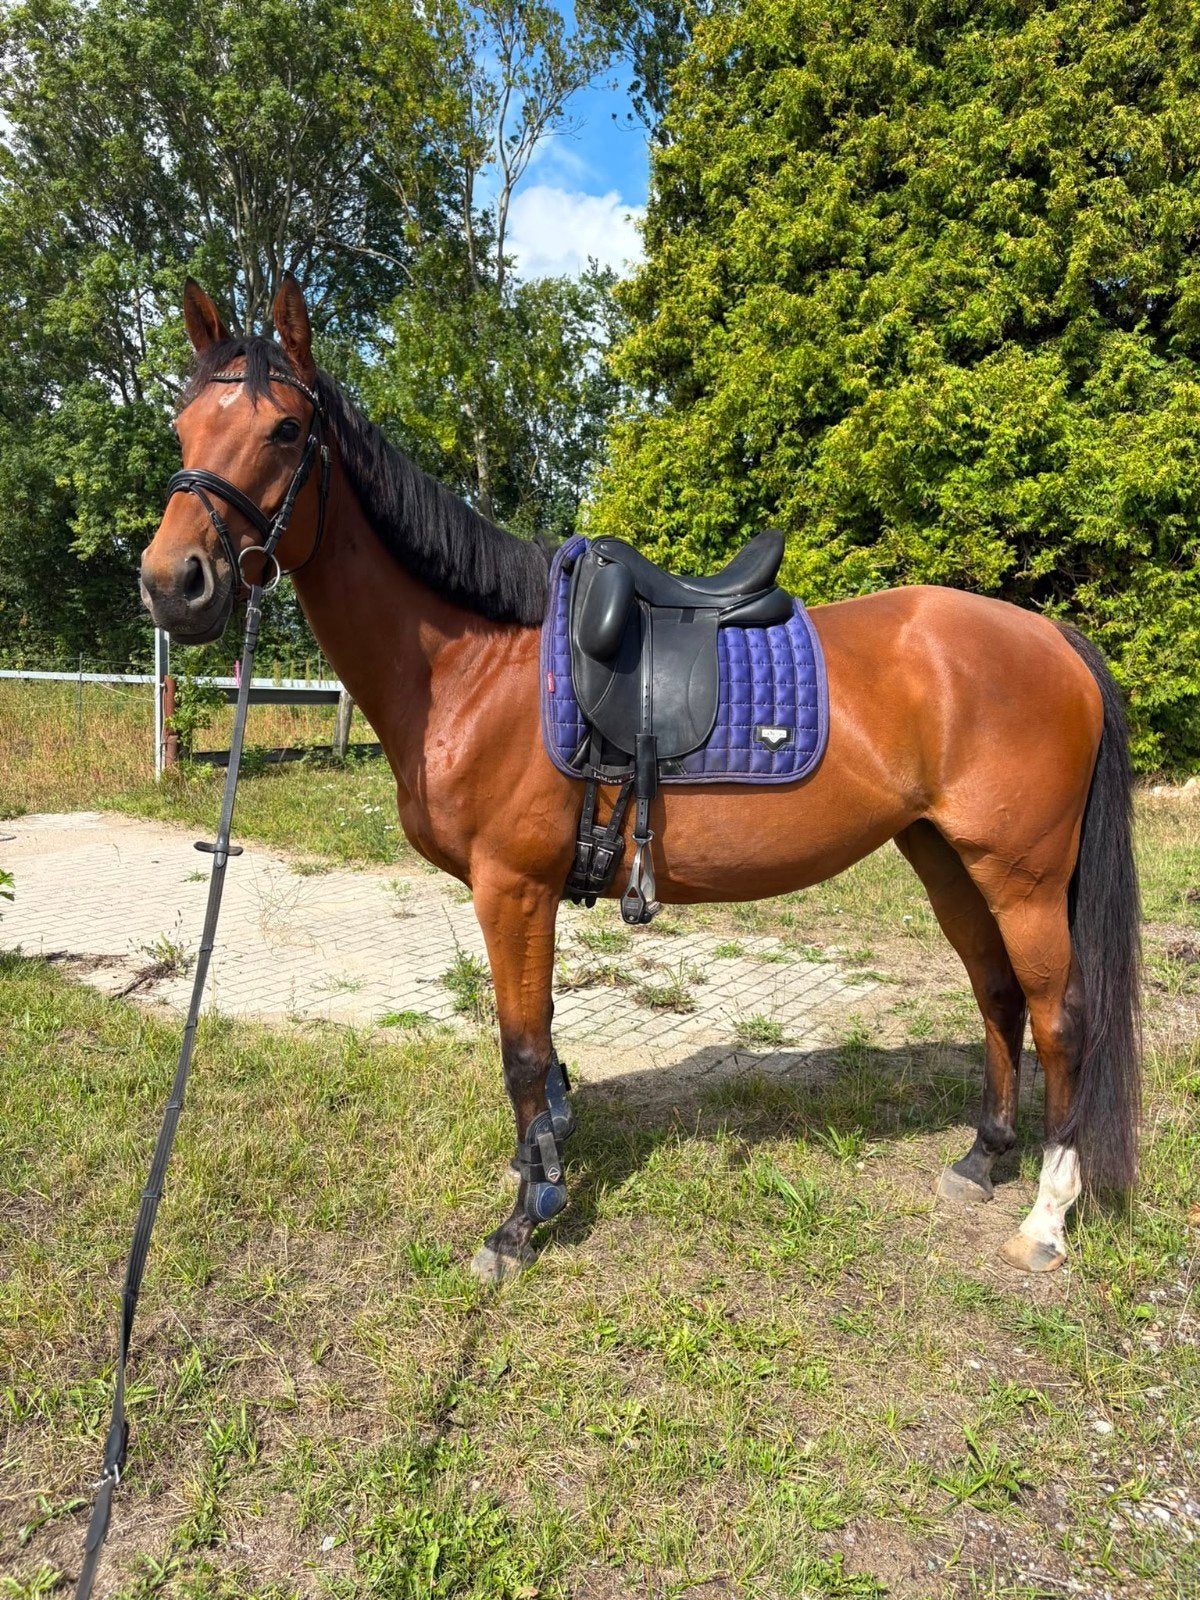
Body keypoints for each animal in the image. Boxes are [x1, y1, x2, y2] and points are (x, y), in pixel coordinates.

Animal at [139, 277, 1141, 1284]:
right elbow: (542, 1049)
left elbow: (522, 1050)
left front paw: (522, 1221)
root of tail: (1051, 636)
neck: (473, 665)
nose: (172, 584)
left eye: (284, 430)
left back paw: (1047, 1215)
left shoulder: (512, 888)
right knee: (998, 994)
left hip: (1022, 875)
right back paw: (982, 1158)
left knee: (1061, 1016)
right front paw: (542, 1165)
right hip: (946, 858)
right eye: (182, 426)